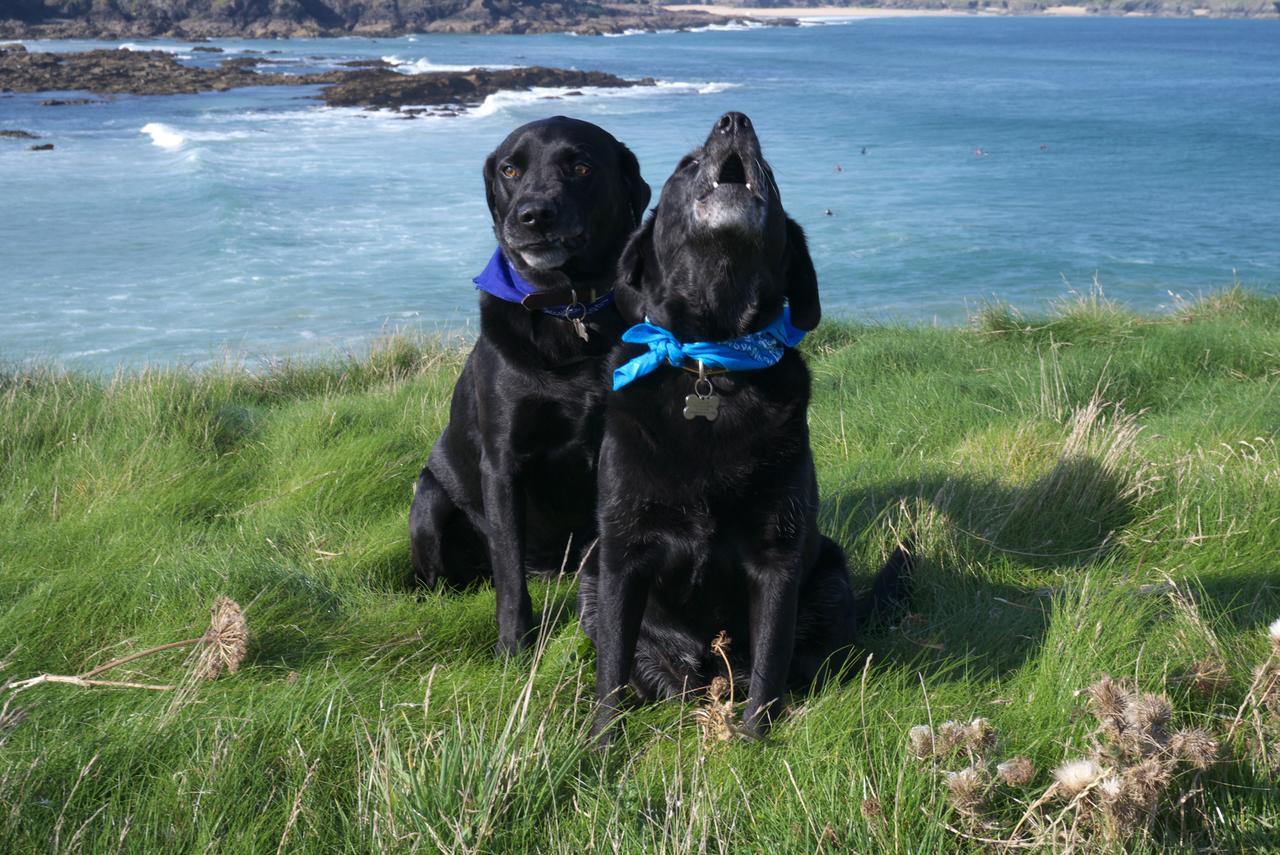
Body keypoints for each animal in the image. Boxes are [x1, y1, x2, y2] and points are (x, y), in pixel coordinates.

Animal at [409, 117, 650, 655]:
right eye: (510, 169)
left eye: (580, 166)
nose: (533, 214)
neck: (571, 310)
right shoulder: (503, 464)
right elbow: (509, 571)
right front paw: (515, 647)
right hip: (430, 499)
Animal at [576, 111, 906, 742]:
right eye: (684, 165)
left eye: (770, 171)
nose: (734, 120)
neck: (715, 360)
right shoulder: (622, 555)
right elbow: (612, 669)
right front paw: (602, 745)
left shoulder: (778, 558)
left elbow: (770, 665)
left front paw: (754, 742)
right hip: (589, 576)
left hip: (830, 577)